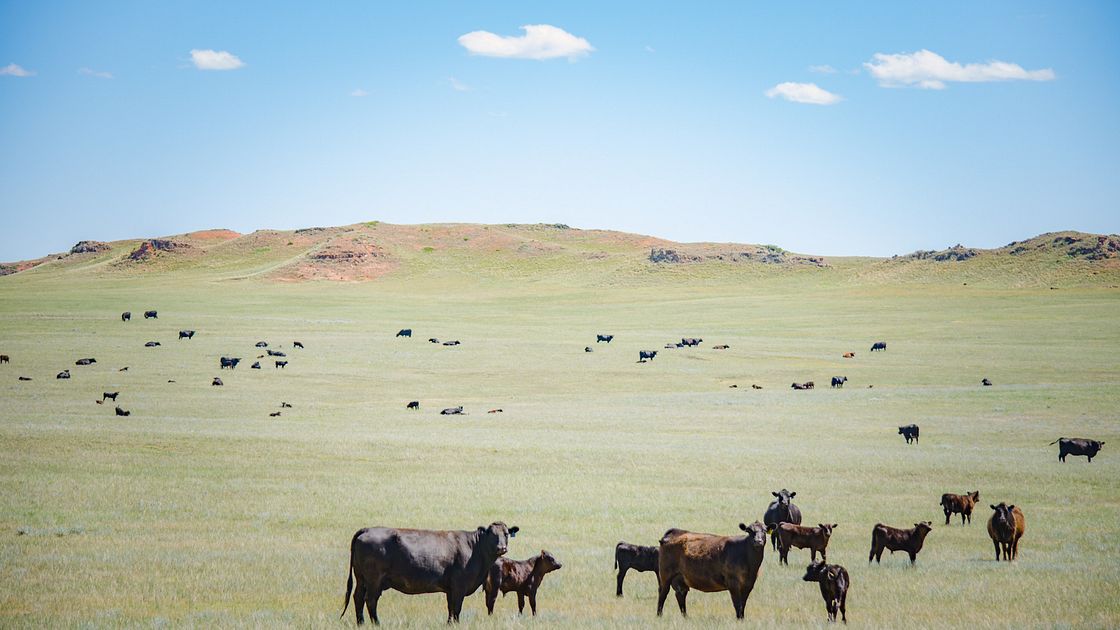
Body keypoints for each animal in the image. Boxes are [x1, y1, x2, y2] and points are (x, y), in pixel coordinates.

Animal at [340, 520, 519, 623]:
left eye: (506, 534)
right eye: (492, 534)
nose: (502, 548)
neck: (475, 548)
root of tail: (368, 529)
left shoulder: (450, 589)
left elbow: (450, 608)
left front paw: (449, 624)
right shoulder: (459, 586)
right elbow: (457, 608)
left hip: (361, 578)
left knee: (358, 598)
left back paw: (361, 623)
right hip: (374, 580)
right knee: (370, 600)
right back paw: (376, 623)